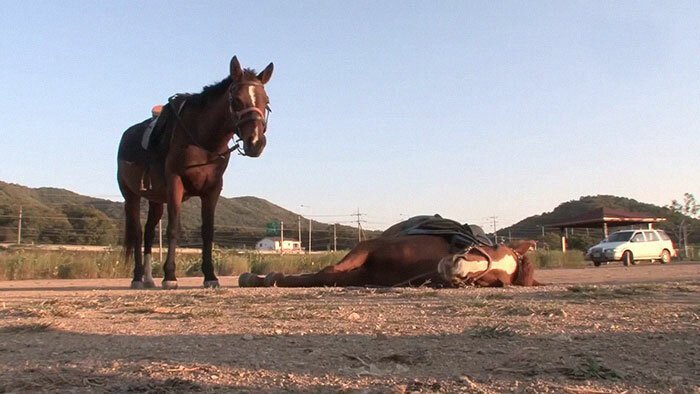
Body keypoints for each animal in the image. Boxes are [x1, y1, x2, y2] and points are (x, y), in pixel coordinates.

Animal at [117, 56, 274, 290]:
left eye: (266, 102)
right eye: (236, 100)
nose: (255, 142)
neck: (203, 139)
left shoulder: (213, 189)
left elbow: (207, 232)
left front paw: (210, 276)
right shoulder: (175, 183)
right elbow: (173, 228)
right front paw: (170, 276)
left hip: (155, 200)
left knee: (148, 233)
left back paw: (148, 279)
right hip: (131, 196)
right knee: (137, 233)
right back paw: (137, 278)